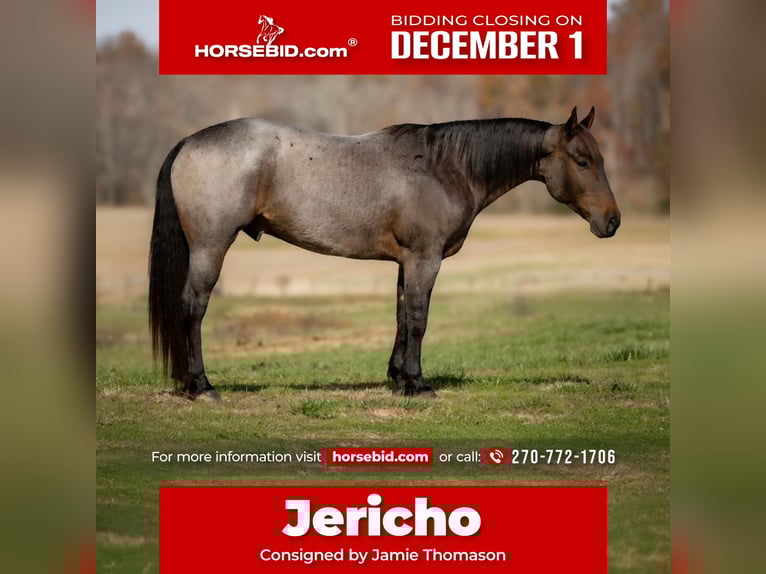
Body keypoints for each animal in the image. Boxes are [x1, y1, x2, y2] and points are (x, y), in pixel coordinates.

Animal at [149, 107, 621, 401]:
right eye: (582, 161)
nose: (612, 221)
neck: (443, 167)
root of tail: (190, 141)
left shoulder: (405, 262)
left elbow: (401, 315)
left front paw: (399, 379)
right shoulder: (424, 259)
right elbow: (418, 319)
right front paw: (418, 384)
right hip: (210, 247)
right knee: (193, 307)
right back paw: (202, 385)